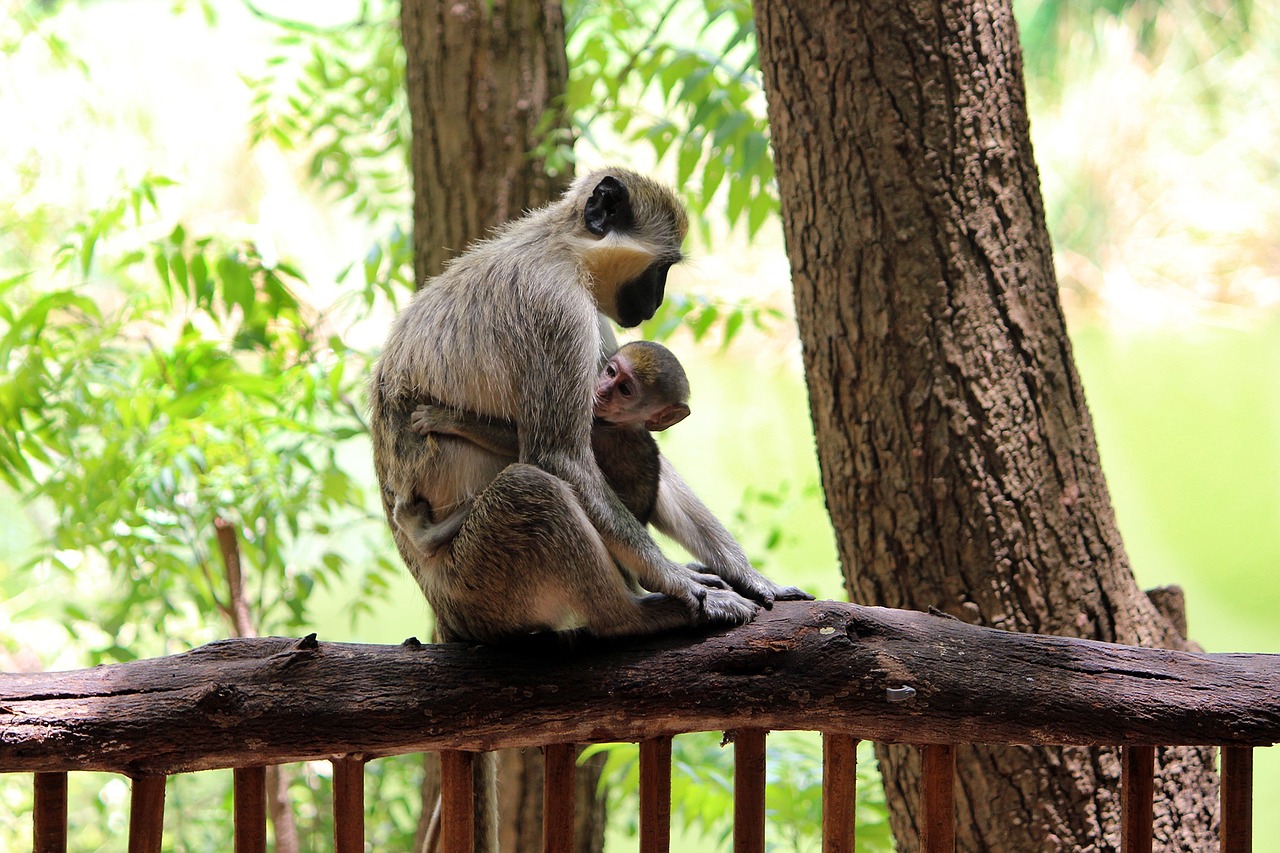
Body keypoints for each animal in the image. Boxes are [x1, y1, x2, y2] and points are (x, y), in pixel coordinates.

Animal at [409, 338, 691, 550]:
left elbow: (535, 449)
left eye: (625, 390)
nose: (601, 390)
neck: (623, 424)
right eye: (611, 372)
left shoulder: (599, 430)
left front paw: (448, 419)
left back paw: (426, 538)